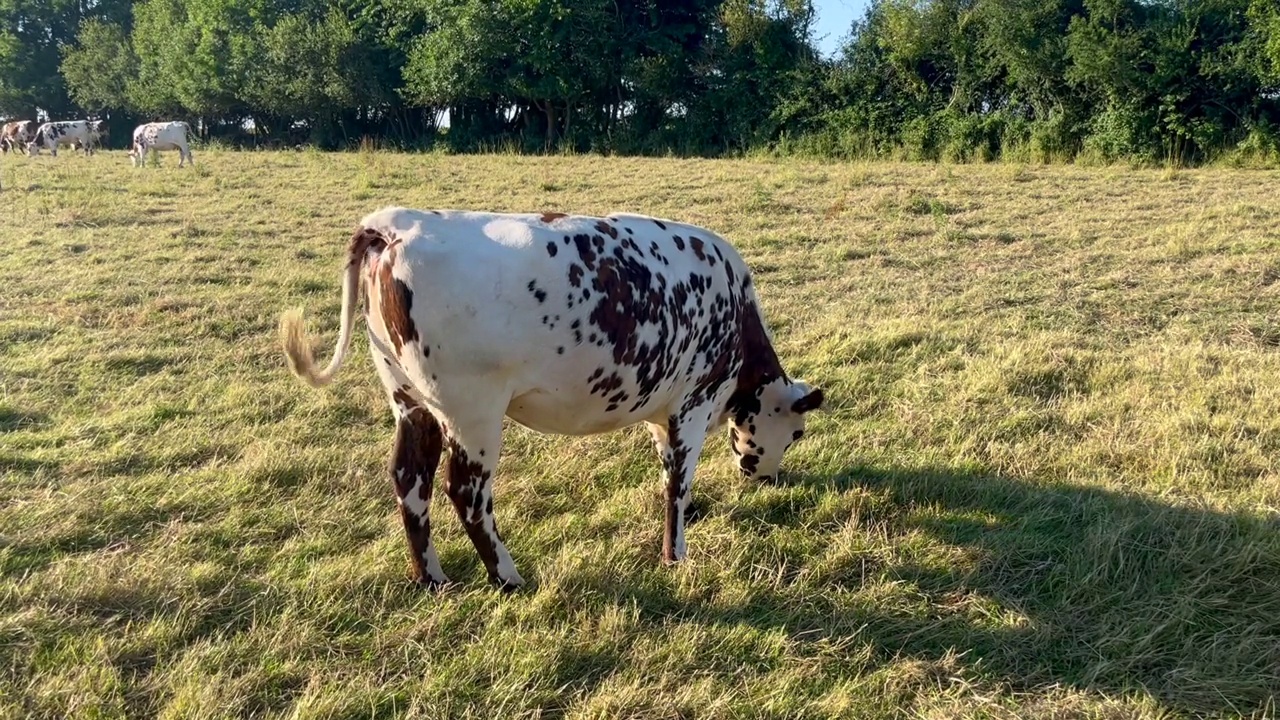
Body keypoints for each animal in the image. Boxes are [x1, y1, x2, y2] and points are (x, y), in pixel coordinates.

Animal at [276, 204, 824, 586]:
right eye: (796, 433)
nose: (769, 479)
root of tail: (396, 225)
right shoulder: (694, 401)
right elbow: (678, 482)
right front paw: (677, 555)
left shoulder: (661, 408)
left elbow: (669, 469)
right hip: (471, 411)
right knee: (466, 492)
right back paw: (509, 579)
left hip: (410, 400)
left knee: (411, 480)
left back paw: (432, 579)